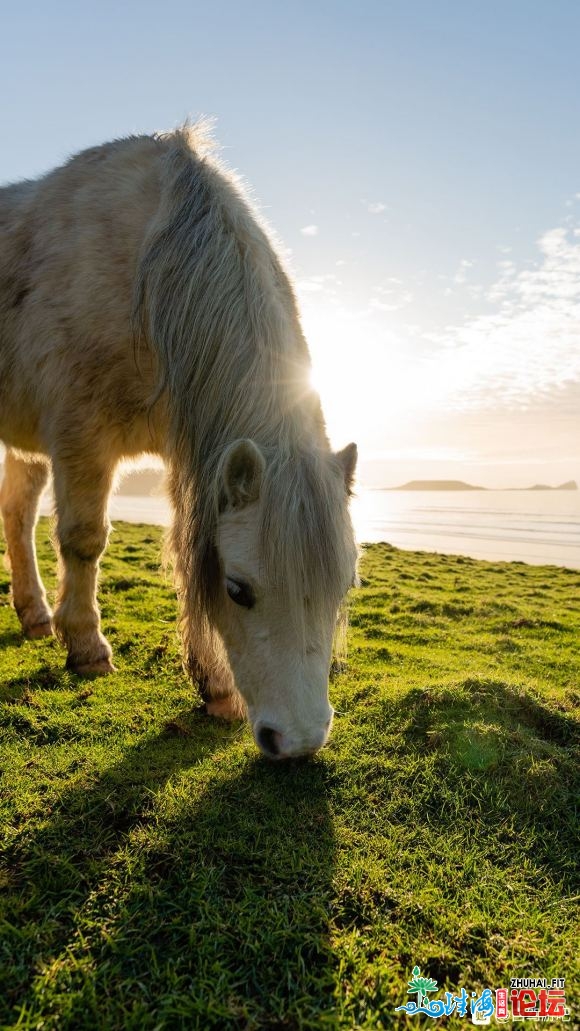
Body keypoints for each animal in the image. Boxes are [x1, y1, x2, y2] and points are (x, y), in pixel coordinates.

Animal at [0, 126, 358, 758]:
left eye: (341, 588)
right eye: (238, 590)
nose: (298, 741)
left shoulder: (188, 453)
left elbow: (186, 554)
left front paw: (215, 687)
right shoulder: (79, 437)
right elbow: (85, 540)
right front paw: (87, 648)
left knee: (17, 514)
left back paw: (35, 615)